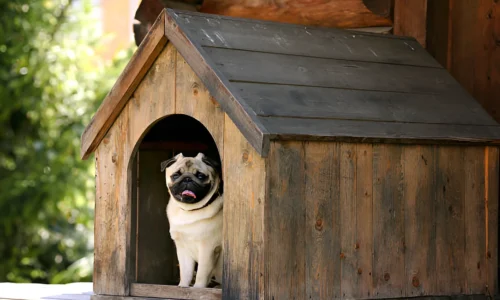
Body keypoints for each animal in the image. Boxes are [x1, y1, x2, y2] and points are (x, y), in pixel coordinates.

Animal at [161, 152, 224, 288]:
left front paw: (197, 289)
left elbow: (201, 274)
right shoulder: (182, 249)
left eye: (200, 176)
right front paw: (183, 287)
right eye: (176, 175)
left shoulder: (207, 249)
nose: (187, 179)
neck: (189, 211)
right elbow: (185, 273)